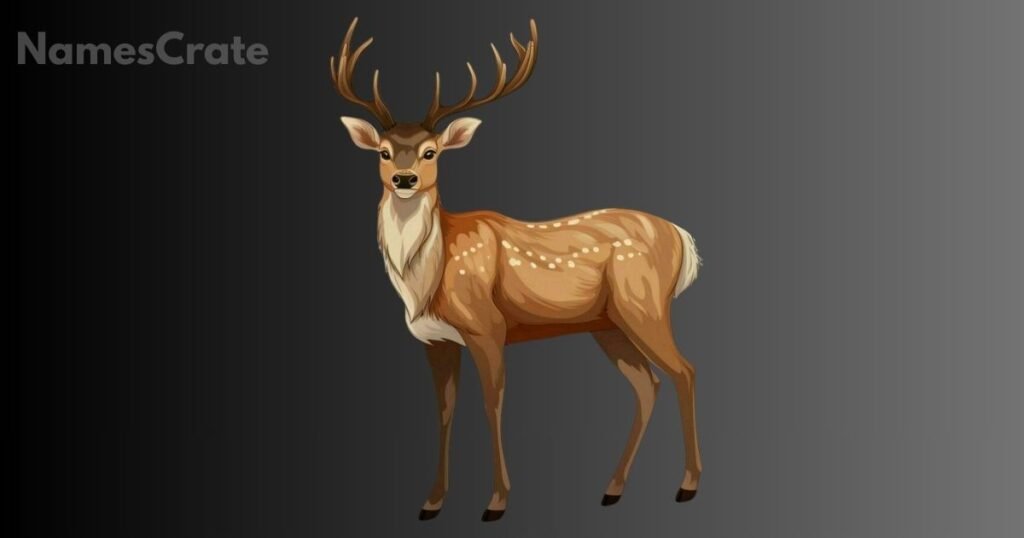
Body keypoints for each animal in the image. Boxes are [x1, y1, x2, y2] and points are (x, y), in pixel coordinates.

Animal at [330, 18, 703, 522]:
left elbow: (492, 404)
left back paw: (687, 485)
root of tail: (682, 238)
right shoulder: (434, 340)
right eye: (384, 152)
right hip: (607, 324)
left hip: (643, 303)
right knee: (648, 384)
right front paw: (431, 503)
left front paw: (497, 502)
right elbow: (445, 410)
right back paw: (612, 489)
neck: (428, 282)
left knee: (685, 371)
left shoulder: (488, 326)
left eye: (430, 152)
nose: (404, 180)